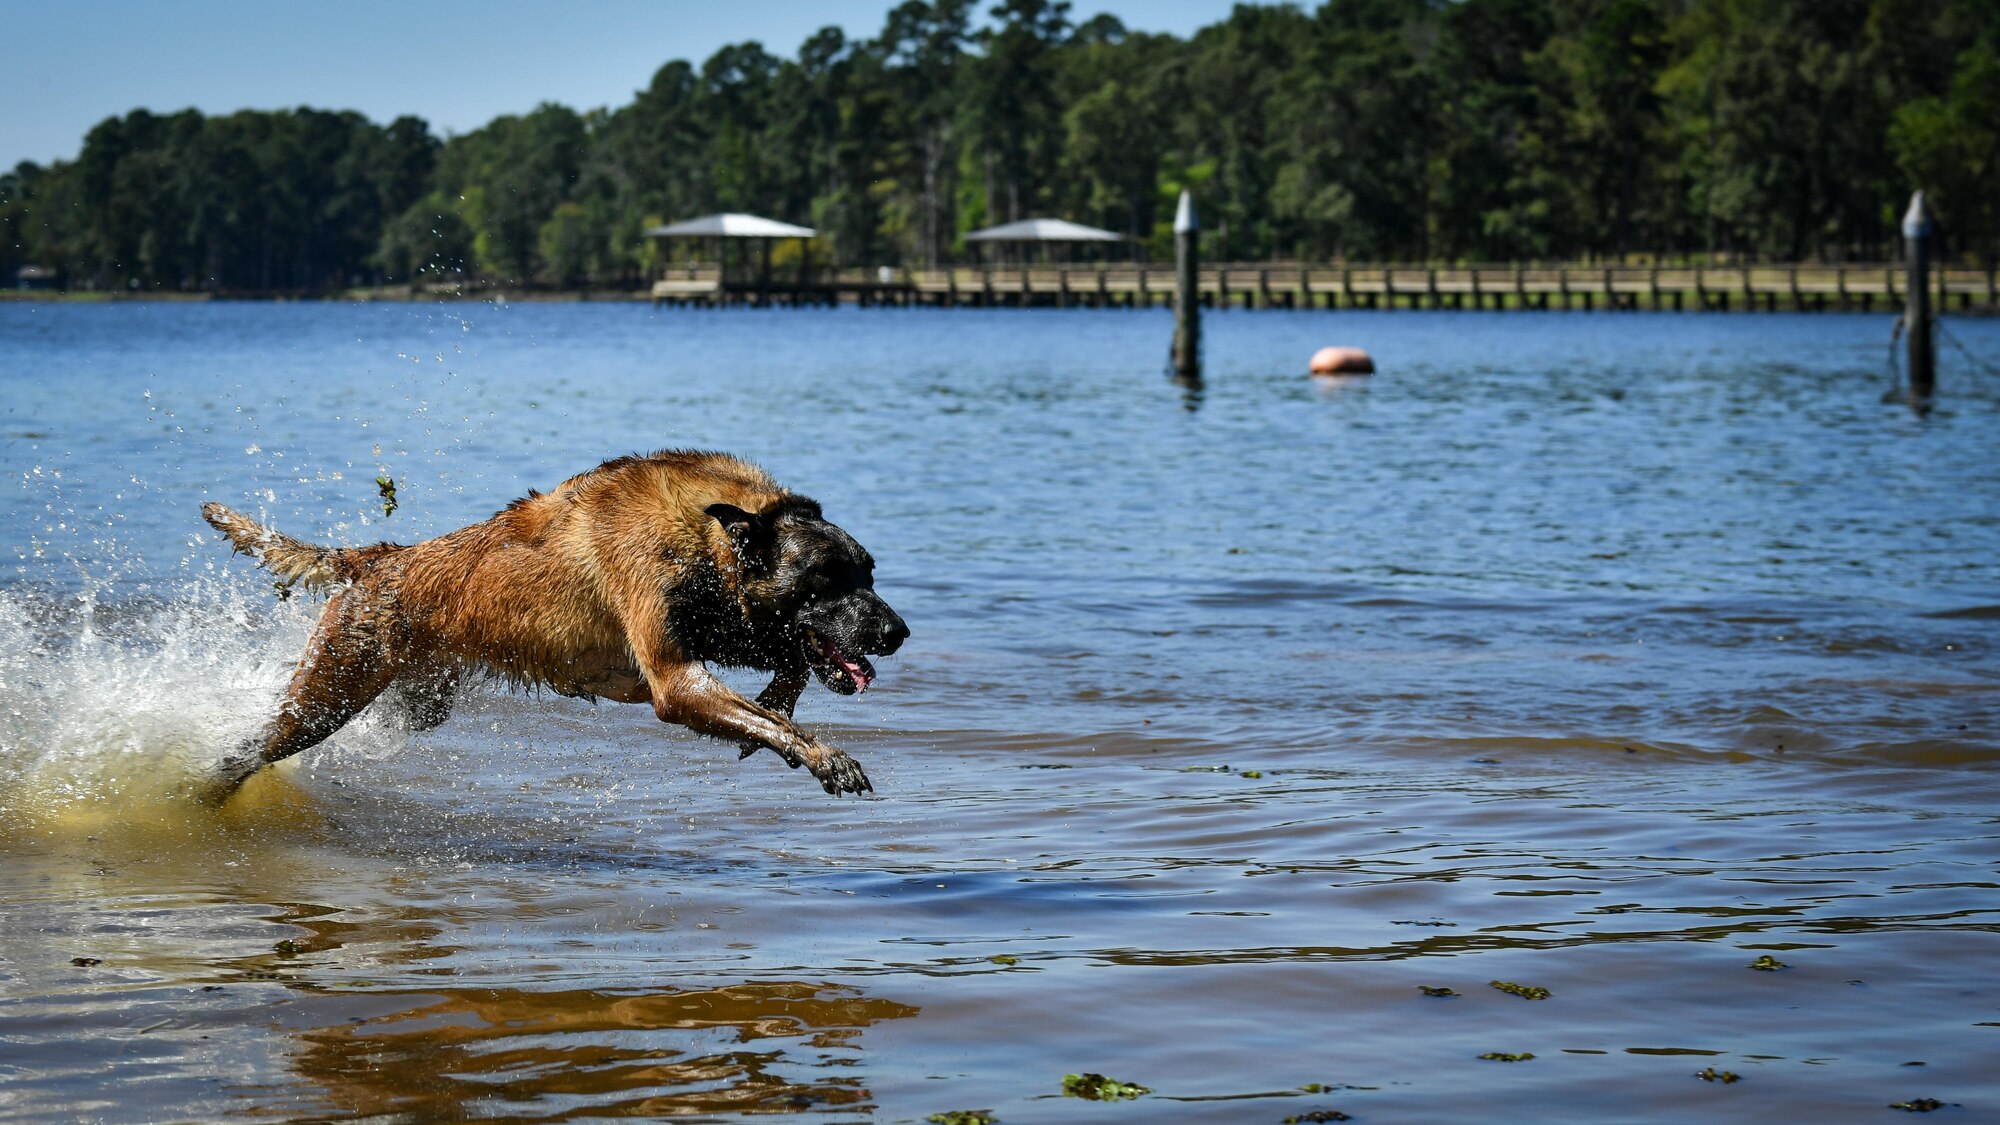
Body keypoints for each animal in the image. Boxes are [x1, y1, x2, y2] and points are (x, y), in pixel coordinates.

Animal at [201, 450, 908, 792]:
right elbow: (771, 709)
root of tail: (377, 559)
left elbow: (789, 666)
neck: (708, 535)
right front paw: (823, 755)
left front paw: (778, 706)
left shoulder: (724, 628)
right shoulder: (674, 679)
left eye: (870, 573)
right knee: (246, 752)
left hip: (414, 698)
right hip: (327, 694)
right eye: (825, 581)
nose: (897, 633)